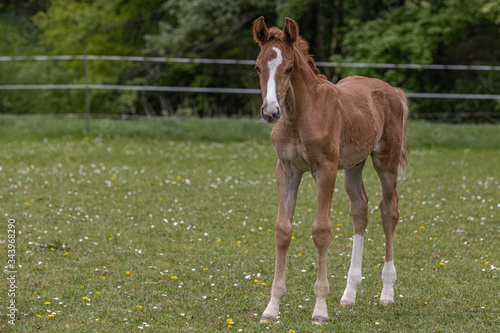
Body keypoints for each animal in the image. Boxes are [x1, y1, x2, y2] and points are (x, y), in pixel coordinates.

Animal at [252, 16, 408, 322]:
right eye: (257, 67)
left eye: (289, 67)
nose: (270, 112)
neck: (298, 115)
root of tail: (392, 90)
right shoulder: (286, 171)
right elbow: (282, 230)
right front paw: (272, 307)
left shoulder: (324, 170)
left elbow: (321, 231)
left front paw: (320, 310)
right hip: (353, 166)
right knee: (360, 209)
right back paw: (349, 294)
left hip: (385, 161)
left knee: (389, 211)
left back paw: (387, 292)